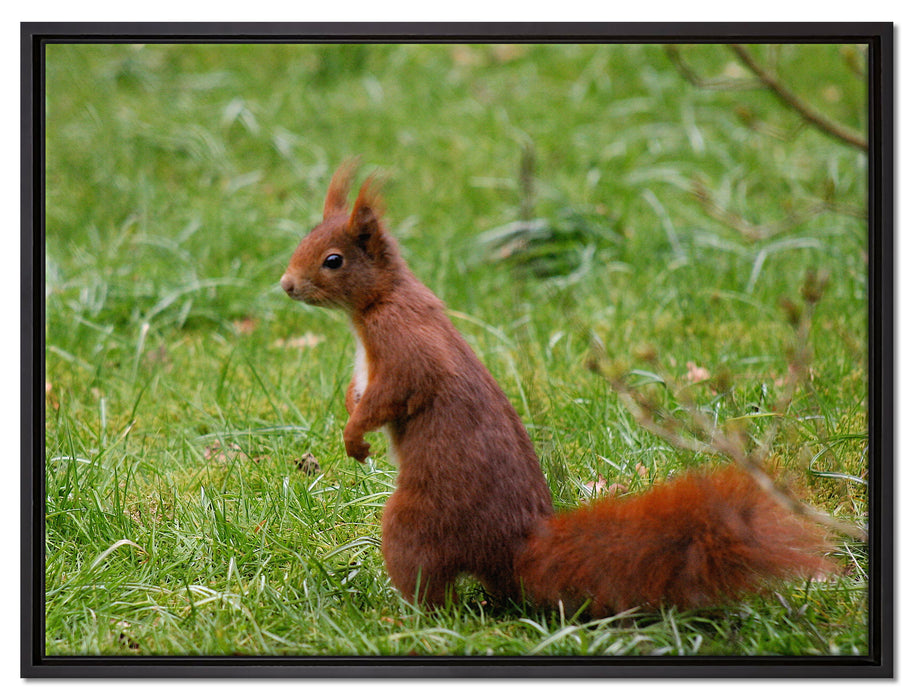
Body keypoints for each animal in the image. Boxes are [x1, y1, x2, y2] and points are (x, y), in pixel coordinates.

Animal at [279, 160, 833, 614]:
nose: (286, 285)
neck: (378, 303)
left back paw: (403, 616)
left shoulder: (404, 348)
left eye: (333, 260)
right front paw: (350, 421)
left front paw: (354, 438)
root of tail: (515, 546)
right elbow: (359, 393)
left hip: (416, 523)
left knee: (431, 588)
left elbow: (391, 394)